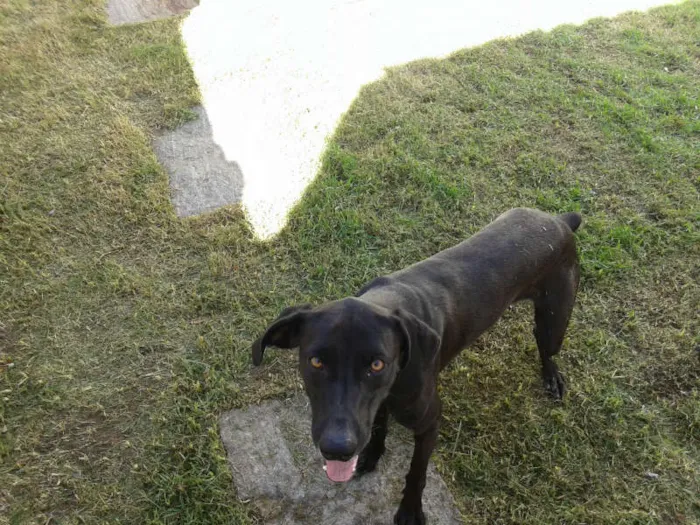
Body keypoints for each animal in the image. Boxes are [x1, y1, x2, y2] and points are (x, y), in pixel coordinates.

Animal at [252, 207, 580, 520]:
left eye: (377, 365)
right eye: (316, 361)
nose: (337, 449)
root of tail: (559, 220)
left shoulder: (429, 422)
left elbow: (417, 473)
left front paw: (410, 511)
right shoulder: (377, 405)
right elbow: (378, 426)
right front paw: (372, 455)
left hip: (554, 321)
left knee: (546, 348)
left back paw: (551, 376)